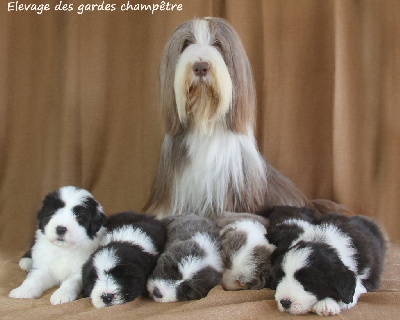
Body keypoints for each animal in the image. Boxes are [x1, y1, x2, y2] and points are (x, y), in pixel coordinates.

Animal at [258, 206, 386, 316]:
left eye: (308, 282)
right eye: (280, 278)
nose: (284, 302)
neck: (324, 240)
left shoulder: (368, 278)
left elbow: (354, 287)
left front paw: (326, 304)